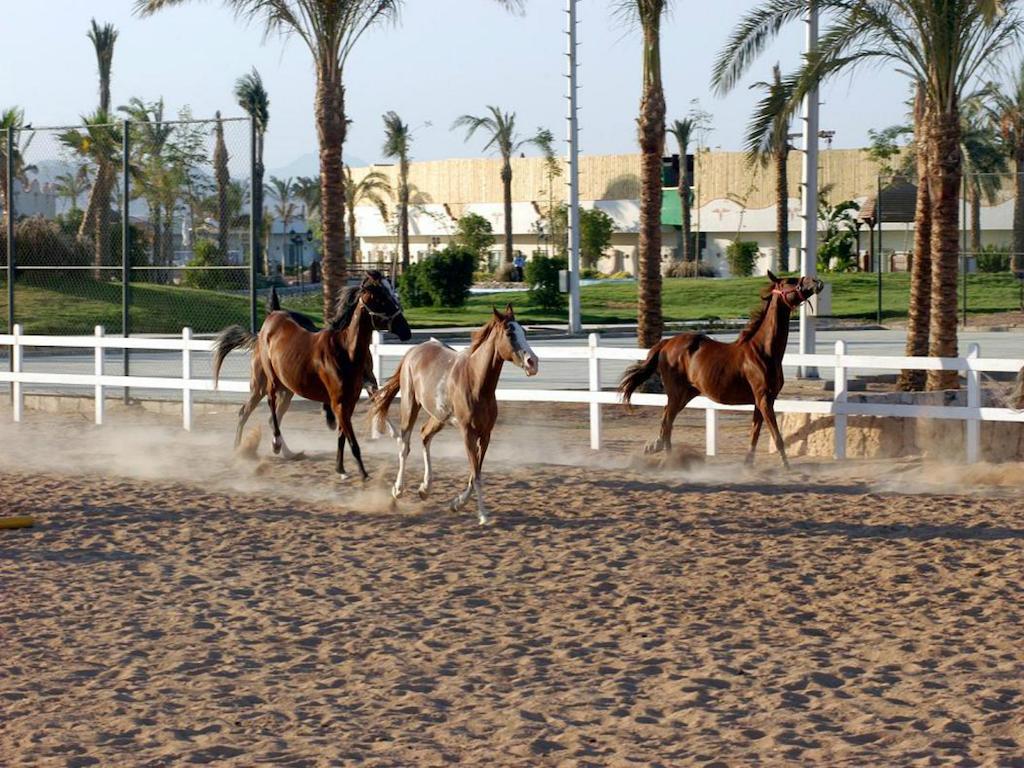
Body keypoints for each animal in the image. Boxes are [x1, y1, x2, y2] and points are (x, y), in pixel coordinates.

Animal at [212, 268, 411, 479]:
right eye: (381, 298)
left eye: (393, 293)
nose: (406, 330)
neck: (345, 351)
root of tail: (271, 316)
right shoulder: (339, 402)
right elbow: (352, 440)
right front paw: (363, 474)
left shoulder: (351, 398)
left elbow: (344, 434)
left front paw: (341, 469)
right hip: (266, 383)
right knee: (258, 407)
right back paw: (259, 446)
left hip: (287, 390)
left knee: (271, 416)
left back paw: (289, 453)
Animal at [372, 303, 540, 528]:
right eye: (509, 333)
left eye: (523, 331)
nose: (533, 362)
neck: (476, 382)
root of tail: (413, 351)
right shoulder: (467, 432)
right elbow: (476, 474)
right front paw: (483, 515)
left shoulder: (485, 434)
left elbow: (476, 471)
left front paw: (456, 504)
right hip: (410, 405)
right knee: (404, 445)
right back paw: (397, 492)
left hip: (438, 416)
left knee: (424, 435)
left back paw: (425, 489)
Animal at [614, 274, 823, 473]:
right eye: (791, 281)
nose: (816, 281)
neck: (763, 351)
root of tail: (666, 343)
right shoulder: (764, 399)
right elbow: (777, 436)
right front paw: (787, 466)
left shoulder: (762, 401)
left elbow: (754, 434)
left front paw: (748, 464)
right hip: (676, 393)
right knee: (667, 423)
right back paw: (669, 459)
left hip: (686, 394)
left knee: (667, 421)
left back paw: (659, 450)